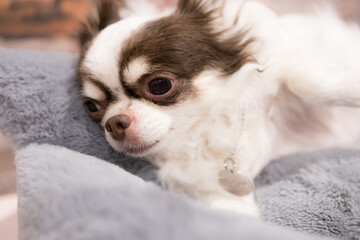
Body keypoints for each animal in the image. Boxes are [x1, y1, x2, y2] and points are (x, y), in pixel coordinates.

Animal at [77, 0, 360, 217]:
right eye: (93, 107)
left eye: (159, 85)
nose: (114, 123)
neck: (207, 129)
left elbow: (305, 82)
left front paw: (354, 88)